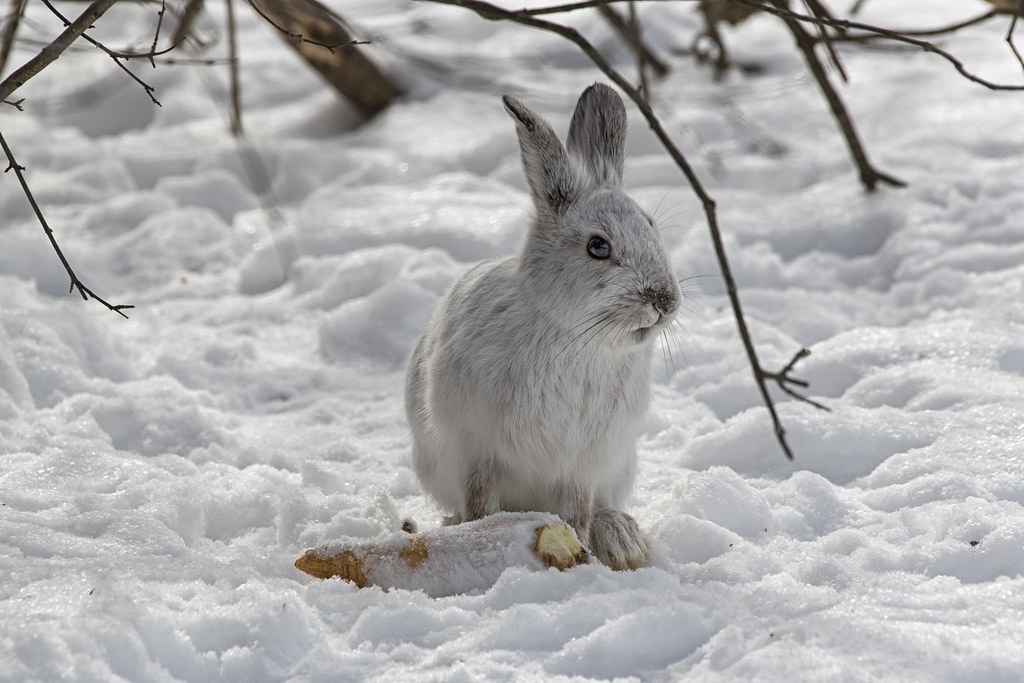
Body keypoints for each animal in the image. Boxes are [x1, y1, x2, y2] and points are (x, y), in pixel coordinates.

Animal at [405, 83, 681, 571]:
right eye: (597, 247)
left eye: (651, 226)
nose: (665, 302)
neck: (575, 338)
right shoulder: (476, 447)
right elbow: (480, 503)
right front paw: (478, 539)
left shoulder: (581, 464)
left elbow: (578, 510)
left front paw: (583, 552)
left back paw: (622, 538)